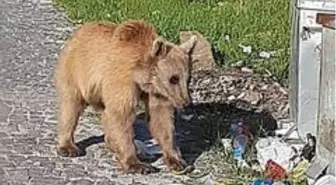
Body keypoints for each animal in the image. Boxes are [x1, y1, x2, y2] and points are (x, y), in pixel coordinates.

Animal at [53, 19, 198, 174]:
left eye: (188, 79)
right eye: (173, 79)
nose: (186, 102)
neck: (142, 77)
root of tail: (76, 34)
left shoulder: (157, 92)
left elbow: (161, 118)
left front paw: (177, 161)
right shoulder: (122, 80)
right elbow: (121, 115)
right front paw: (137, 164)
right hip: (76, 72)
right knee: (71, 106)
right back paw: (68, 147)